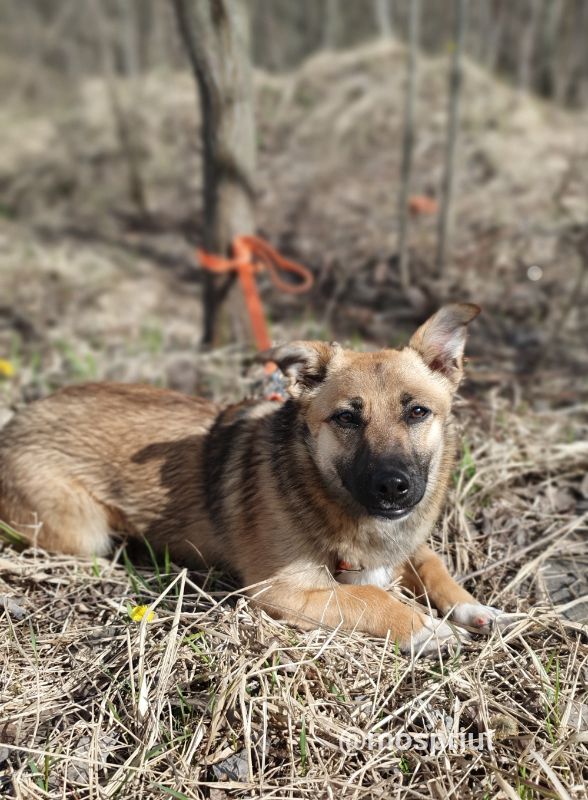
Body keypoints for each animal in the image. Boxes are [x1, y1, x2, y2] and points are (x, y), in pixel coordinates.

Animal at [0, 304, 508, 652]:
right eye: (346, 418)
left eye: (418, 411)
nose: (393, 487)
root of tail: (15, 423)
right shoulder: (280, 591)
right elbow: (369, 597)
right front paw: (424, 628)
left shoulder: (401, 547)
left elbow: (431, 562)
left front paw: (474, 607)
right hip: (83, 532)